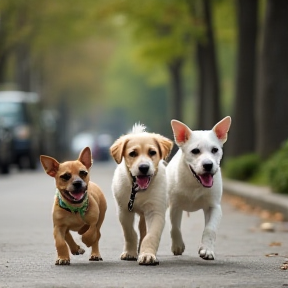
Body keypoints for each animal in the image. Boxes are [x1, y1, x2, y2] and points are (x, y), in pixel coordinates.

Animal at [110, 124, 173, 266]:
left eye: (152, 152)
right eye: (133, 153)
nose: (144, 167)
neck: (139, 191)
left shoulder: (155, 211)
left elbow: (151, 235)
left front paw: (147, 255)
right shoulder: (123, 210)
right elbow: (129, 233)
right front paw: (130, 253)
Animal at [168, 116, 231, 260]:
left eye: (215, 150)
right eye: (195, 151)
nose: (208, 165)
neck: (195, 183)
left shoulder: (214, 207)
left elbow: (210, 229)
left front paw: (207, 250)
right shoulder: (174, 205)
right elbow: (175, 227)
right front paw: (177, 246)